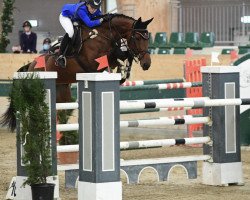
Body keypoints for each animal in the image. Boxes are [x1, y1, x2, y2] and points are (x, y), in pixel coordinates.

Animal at [0, 12, 153, 131]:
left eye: (148, 38)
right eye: (137, 38)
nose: (147, 64)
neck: (103, 35)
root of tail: (30, 66)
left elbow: (122, 56)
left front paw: (124, 72)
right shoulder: (93, 63)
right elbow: (115, 56)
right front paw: (122, 71)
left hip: (62, 90)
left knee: (63, 111)